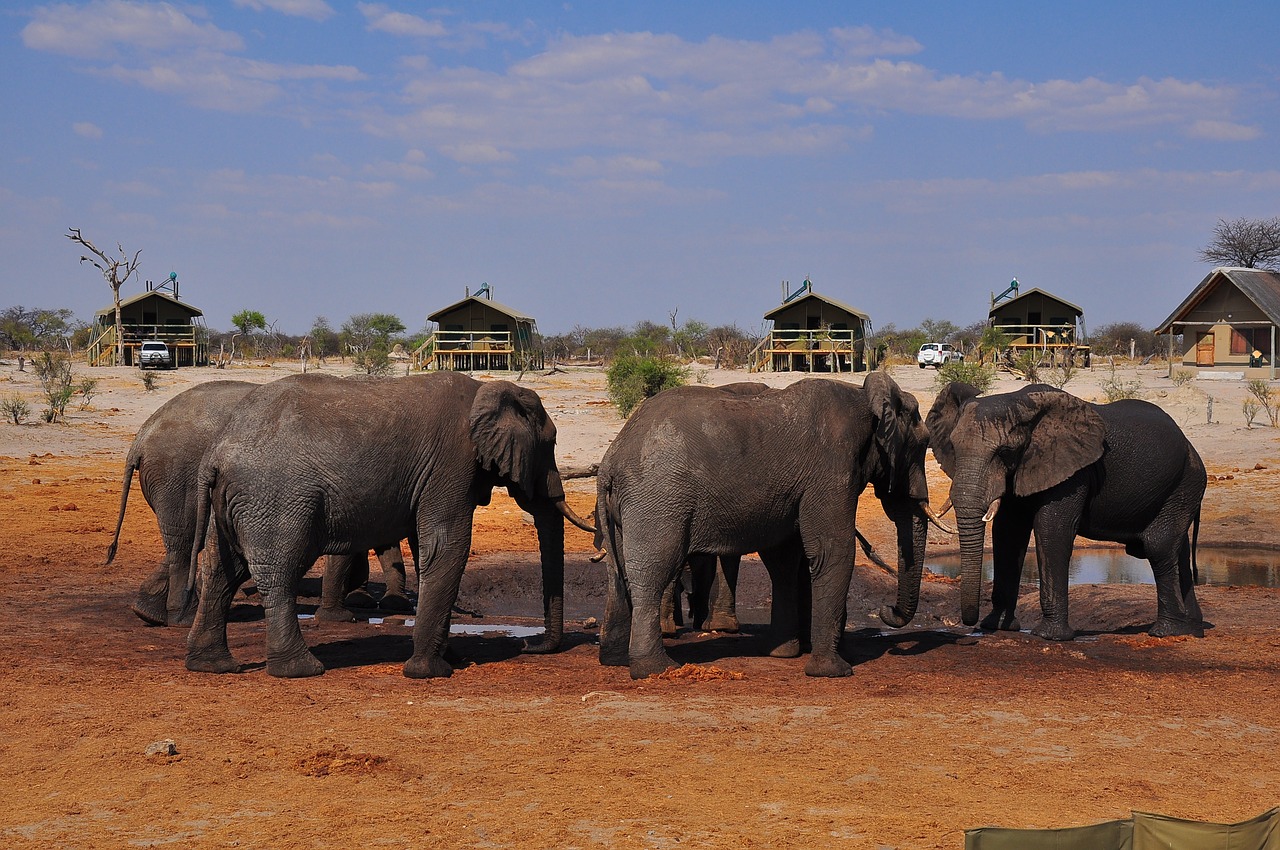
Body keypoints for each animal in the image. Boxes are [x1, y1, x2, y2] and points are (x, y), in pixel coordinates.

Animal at [106, 378, 256, 624]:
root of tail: (140, 439)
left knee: (185, 539)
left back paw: (148, 613)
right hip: (177, 476)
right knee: (186, 540)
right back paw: (182, 617)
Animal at [185, 376, 593, 681]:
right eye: (551, 443)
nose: (530, 645)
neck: (486, 388)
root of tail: (215, 454)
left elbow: (428, 548)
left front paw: (452, 658)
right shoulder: (452, 463)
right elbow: (446, 547)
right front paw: (432, 671)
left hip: (233, 500)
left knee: (221, 571)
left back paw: (213, 666)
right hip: (274, 496)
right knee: (278, 572)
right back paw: (302, 670)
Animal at [593, 376, 947, 681]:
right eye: (923, 444)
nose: (888, 611)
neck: (864, 396)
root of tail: (611, 460)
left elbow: (784, 558)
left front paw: (784, 654)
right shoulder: (831, 470)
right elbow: (832, 552)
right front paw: (833, 671)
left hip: (628, 505)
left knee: (618, 573)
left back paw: (615, 660)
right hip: (658, 500)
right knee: (653, 573)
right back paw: (656, 669)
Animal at [926, 381, 1203, 640]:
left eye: (1005, 452)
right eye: (953, 447)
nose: (968, 624)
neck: (1021, 403)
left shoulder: (1072, 471)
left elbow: (1052, 530)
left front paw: (1049, 635)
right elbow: (1008, 533)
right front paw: (997, 625)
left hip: (1185, 483)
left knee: (1159, 546)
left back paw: (1167, 631)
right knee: (1177, 550)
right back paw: (1192, 628)